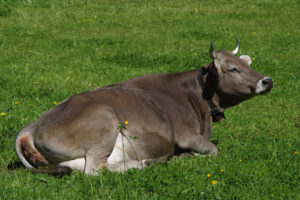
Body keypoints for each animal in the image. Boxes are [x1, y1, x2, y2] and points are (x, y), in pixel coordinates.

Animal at [14, 39, 272, 175]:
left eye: (247, 64)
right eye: (233, 69)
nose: (267, 80)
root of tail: (32, 126)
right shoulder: (187, 135)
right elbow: (214, 151)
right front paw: (187, 156)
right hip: (104, 118)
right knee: (94, 170)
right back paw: (144, 164)